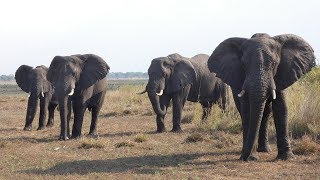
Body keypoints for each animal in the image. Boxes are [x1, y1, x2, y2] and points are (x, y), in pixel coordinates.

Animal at [208, 33, 316, 161]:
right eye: (244, 65)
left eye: (274, 64)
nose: (246, 158)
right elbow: (247, 110)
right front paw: (250, 156)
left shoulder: (282, 73)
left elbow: (281, 108)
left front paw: (286, 158)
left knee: (266, 113)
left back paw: (264, 150)